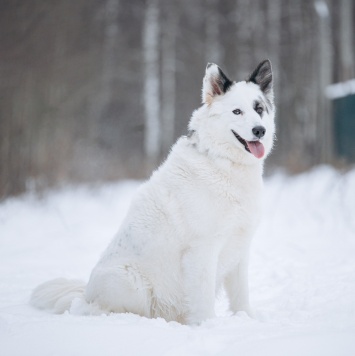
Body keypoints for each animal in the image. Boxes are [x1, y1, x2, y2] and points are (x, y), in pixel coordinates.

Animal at [29, 59, 276, 324]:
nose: (259, 130)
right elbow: (203, 299)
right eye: (237, 112)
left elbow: (241, 295)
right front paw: (208, 325)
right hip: (131, 284)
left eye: (259, 109)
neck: (221, 162)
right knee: (98, 310)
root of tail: (84, 293)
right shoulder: (202, 251)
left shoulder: (240, 249)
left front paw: (247, 318)